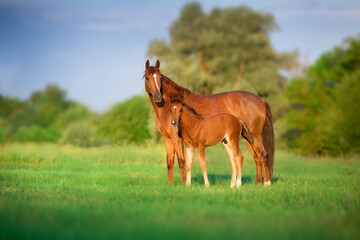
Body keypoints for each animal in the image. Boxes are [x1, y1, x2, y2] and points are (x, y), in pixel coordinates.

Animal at [145, 59, 274, 186]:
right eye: (147, 78)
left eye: (160, 78)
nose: (157, 96)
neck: (165, 108)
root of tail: (260, 99)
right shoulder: (167, 138)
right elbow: (170, 161)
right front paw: (170, 183)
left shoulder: (177, 138)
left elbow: (181, 161)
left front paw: (183, 183)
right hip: (247, 138)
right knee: (256, 157)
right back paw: (257, 183)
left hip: (254, 137)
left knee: (262, 155)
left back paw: (266, 183)